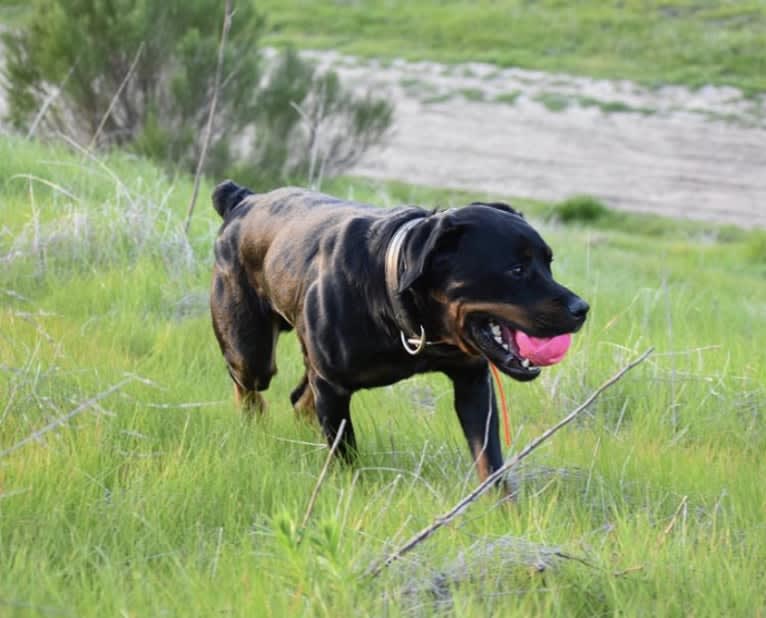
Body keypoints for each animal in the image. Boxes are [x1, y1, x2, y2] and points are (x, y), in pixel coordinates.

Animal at [210, 180, 588, 484]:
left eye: (548, 263)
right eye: (516, 269)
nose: (581, 308)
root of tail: (243, 199)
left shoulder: (472, 382)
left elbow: (489, 462)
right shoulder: (333, 387)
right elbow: (345, 453)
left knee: (299, 397)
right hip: (251, 350)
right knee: (249, 388)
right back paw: (253, 429)